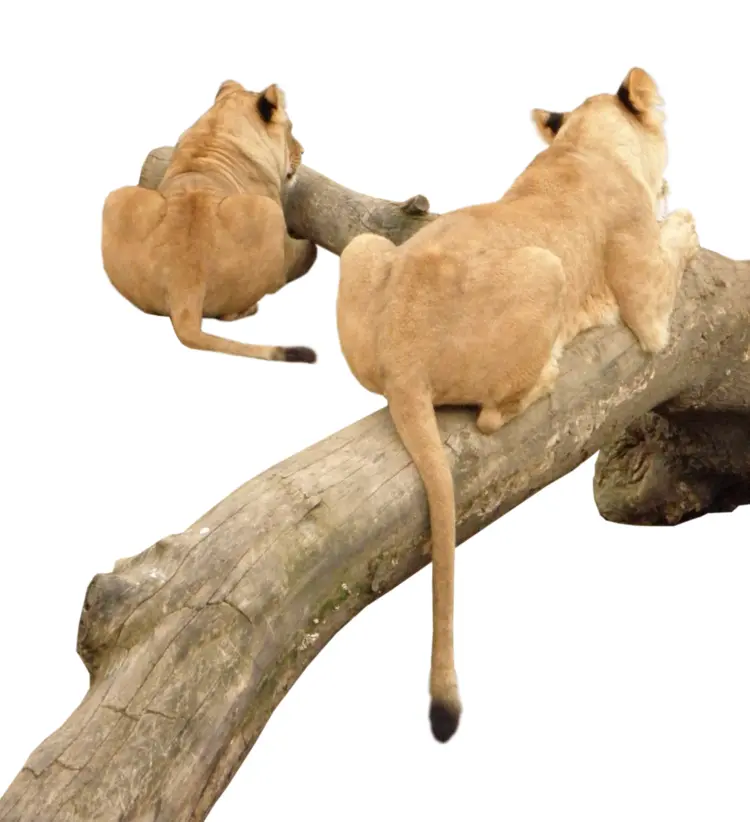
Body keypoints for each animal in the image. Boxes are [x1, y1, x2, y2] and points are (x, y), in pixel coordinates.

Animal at [101, 80, 318, 364]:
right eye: (291, 128)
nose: (302, 151)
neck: (217, 128)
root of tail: (184, 289)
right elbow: (302, 254)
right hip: (265, 211)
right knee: (257, 294)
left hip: (116, 198)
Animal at [336, 68, 699, 743]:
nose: (668, 184)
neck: (584, 145)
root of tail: (403, 353)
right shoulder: (649, 311)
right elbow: (675, 249)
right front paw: (685, 217)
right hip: (546, 267)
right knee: (488, 417)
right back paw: (548, 376)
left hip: (365, 248)